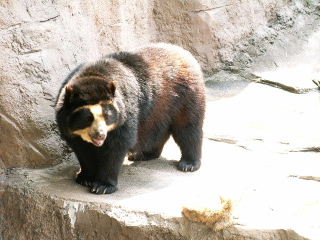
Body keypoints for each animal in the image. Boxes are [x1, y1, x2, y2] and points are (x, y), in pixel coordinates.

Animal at [55, 42, 205, 194]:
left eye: (107, 116)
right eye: (88, 118)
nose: (100, 135)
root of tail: (183, 52)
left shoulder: (126, 111)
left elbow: (117, 145)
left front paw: (102, 186)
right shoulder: (69, 127)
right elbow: (82, 149)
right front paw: (85, 177)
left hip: (185, 95)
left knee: (187, 127)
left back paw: (188, 163)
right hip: (160, 109)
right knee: (158, 130)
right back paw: (144, 154)